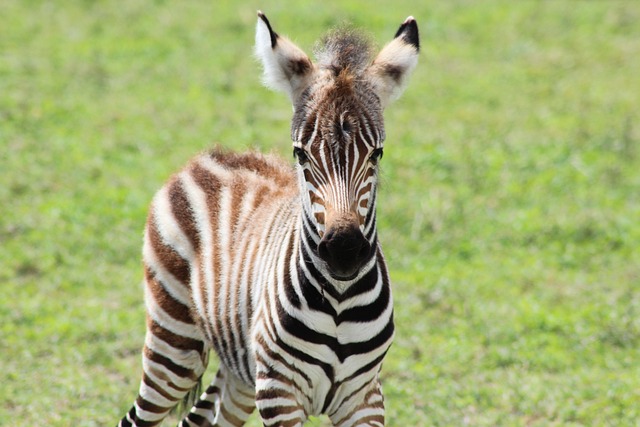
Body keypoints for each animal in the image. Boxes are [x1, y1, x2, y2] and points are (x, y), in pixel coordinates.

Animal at [118, 11, 419, 427]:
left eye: (377, 153)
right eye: (300, 153)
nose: (344, 251)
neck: (340, 300)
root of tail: (210, 156)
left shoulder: (364, 396)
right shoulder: (280, 391)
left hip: (241, 368)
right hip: (173, 339)